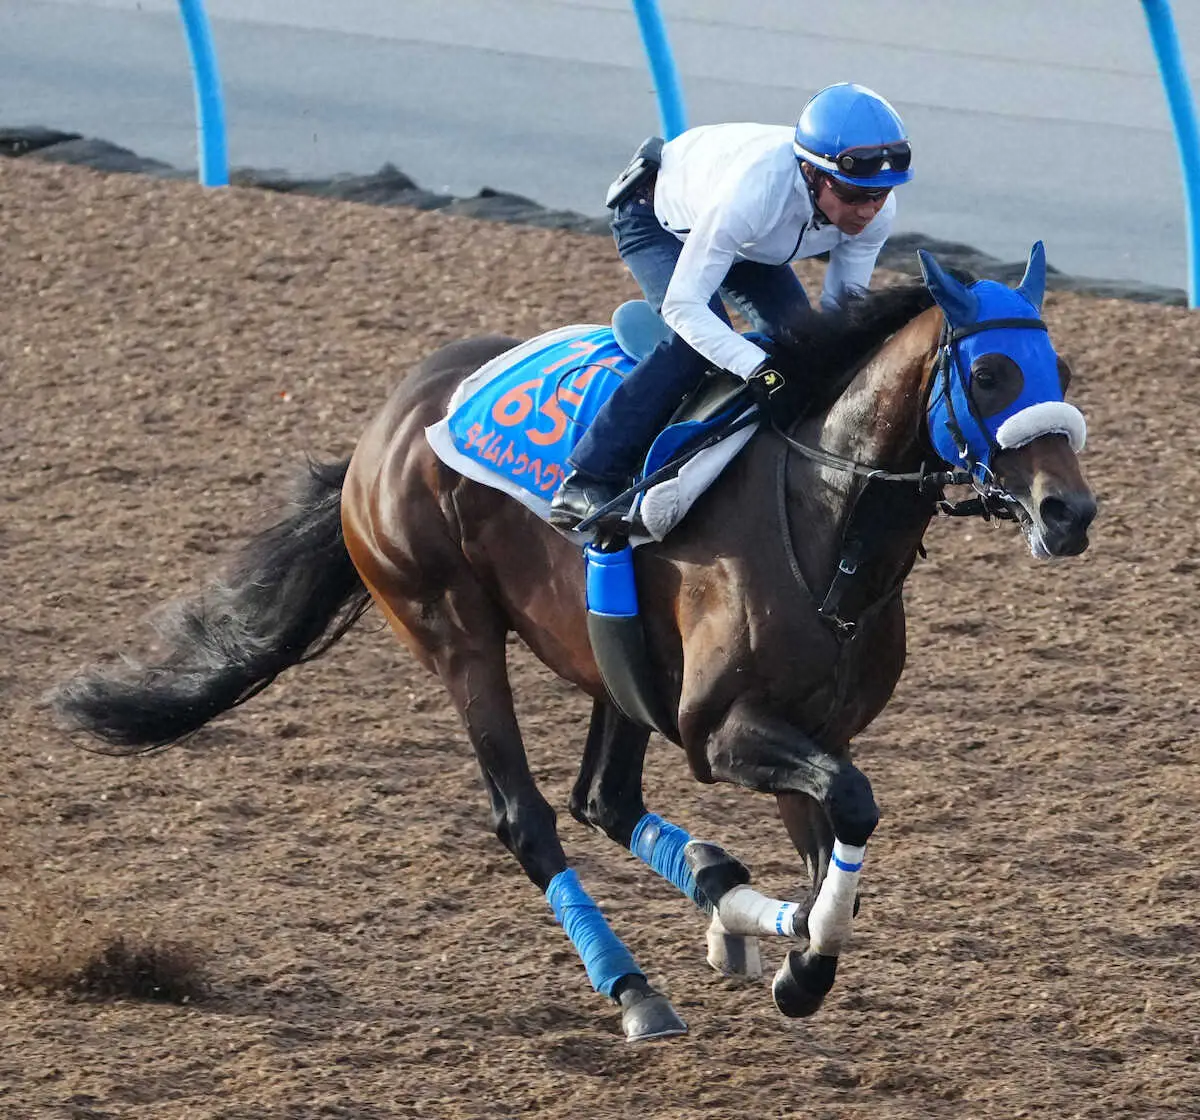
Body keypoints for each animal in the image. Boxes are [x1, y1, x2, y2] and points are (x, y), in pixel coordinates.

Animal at [49, 242, 1099, 1041]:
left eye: (1065, 374)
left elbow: (833, 833)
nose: (1070, 512)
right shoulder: (723, 730)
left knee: (605, 796)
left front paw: (784, 941)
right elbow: (852, 805)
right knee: (531, 818)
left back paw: (718, 895)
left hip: (612, 663)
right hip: (453, 630)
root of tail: (382, 429)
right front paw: (795, 958)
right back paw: (636, 991)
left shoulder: (812, 726)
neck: (825, 522)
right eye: (991, 373)